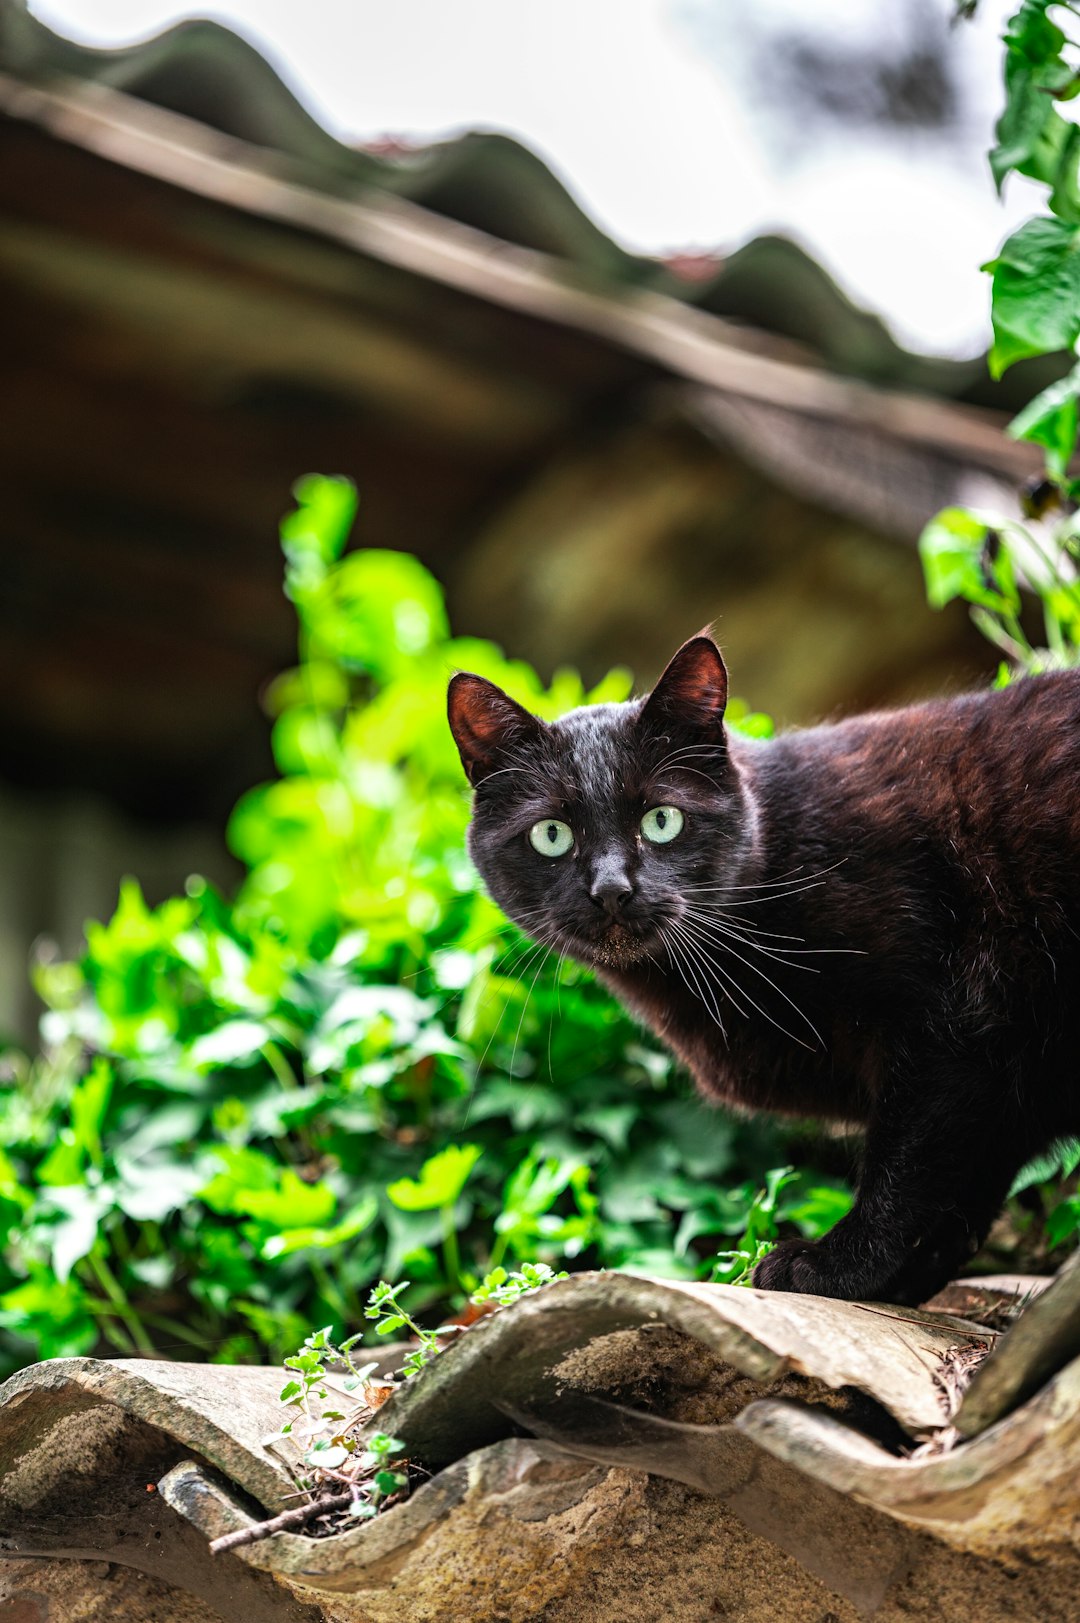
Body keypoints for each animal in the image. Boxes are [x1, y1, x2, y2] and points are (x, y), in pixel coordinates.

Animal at [444, 636, 1078, 1304]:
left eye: (661, 821)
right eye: (551, 834)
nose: (612, 889)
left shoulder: (952, 1025)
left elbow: (906, 1171)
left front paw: (835, 1268)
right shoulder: (1010, 1084)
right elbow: (964, 1195)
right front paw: (899, 1281)